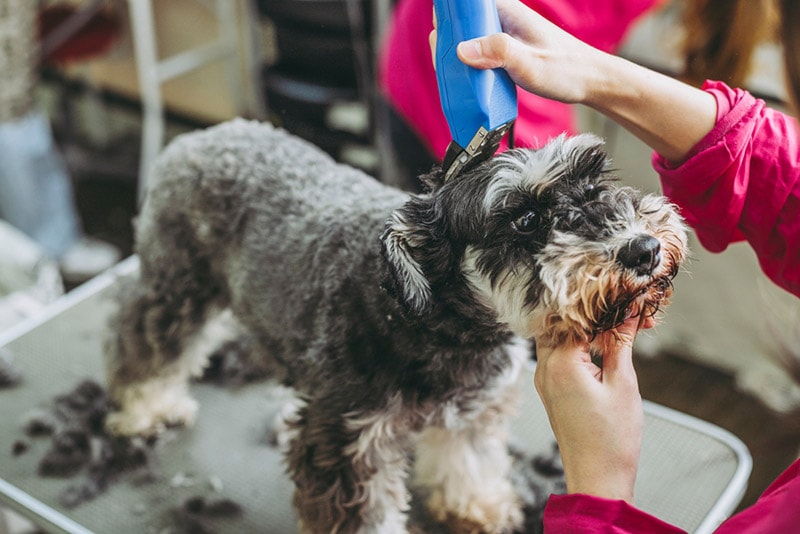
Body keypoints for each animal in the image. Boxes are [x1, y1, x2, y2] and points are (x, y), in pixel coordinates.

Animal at [101, 121, 688, 534]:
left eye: (595, 182)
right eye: (525, 219)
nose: (644, 249)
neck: (443, 329)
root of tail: (202, 137)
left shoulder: (471, 411)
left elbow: (469, 462)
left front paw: (477, 506)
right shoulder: (346, 445)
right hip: (177, 288)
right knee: (141, 335)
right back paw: (146, 406)